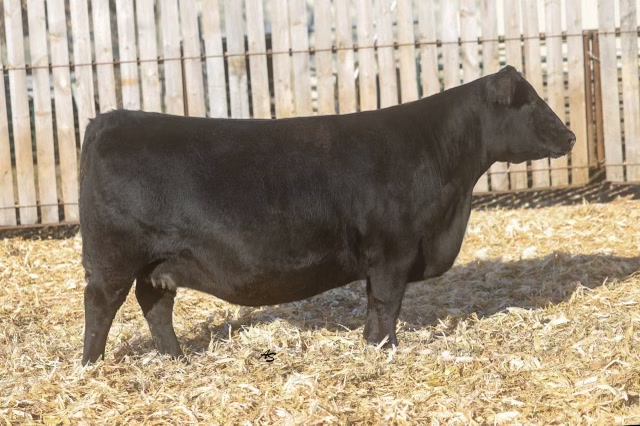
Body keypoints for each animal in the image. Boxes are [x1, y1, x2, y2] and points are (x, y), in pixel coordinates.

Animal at [79, 66, 575, 365]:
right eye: (531, 102)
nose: (570, 136)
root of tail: (108, 119)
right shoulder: (394, 251)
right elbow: (388, 303)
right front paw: (386, 349)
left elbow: (377, 305)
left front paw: (372, 346)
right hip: (113, 257)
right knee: (101, 305)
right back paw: (91, 365)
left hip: (159, 262)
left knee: (155, 304)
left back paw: (176, 357)